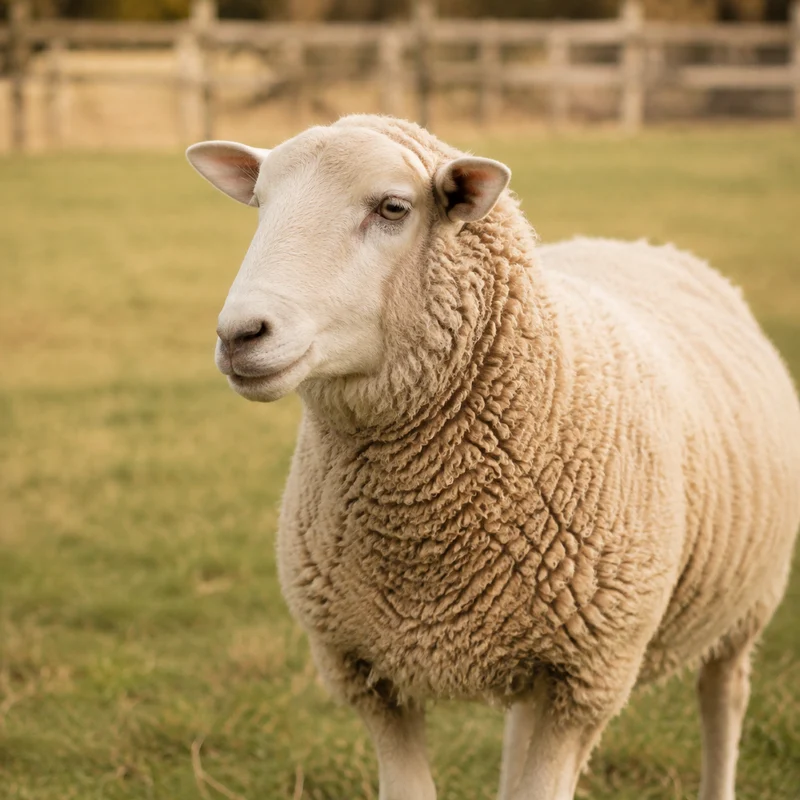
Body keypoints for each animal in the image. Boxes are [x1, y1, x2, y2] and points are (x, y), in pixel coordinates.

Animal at [186, 114, 800, 800]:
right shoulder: (367, 672)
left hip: (747, 601)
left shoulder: (588, 679)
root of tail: (642, 244)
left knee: (724, 698)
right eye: (261, 203)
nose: (240, 335)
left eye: (393, 207)